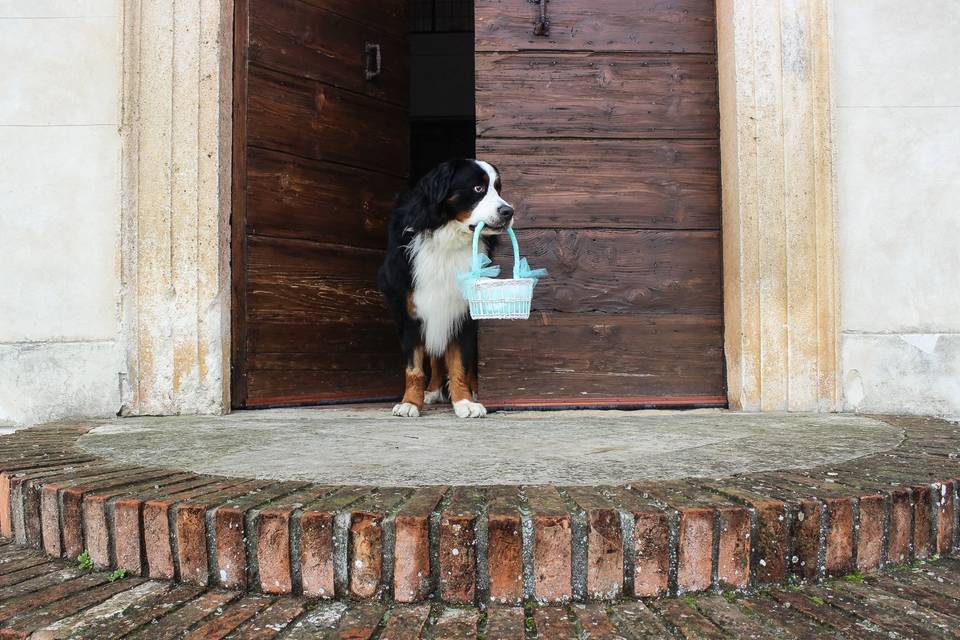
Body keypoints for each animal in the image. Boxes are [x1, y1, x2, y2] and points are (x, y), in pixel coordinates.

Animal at [380, 159, 516, 420]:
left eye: (498, 188)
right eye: (477, 188)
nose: (508, 212)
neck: (447, 236)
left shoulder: (463, 311)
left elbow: (460, 363)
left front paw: (464, 401)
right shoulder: (409, 310)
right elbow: (414, 367)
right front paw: (410, 403)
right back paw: (431, 391)